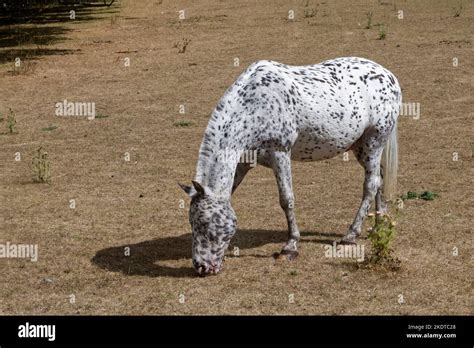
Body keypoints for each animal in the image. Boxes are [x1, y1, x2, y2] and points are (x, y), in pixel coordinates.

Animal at [180, 57, 402, 276]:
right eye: (192, 223)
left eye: (206, 224)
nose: (202, 267)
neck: (254, 106)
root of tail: (389, 76)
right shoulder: (243, 163)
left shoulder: (280, 154)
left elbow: (286, 200)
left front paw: (290, 246)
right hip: (362, 148)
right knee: (379, 179)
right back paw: (379, 225)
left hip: (374, 142)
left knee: (370, 185)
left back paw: (351, 235)